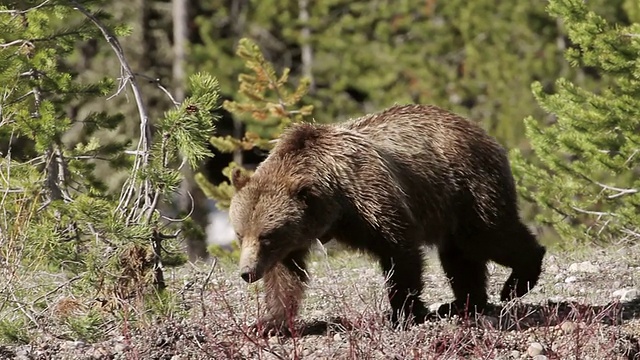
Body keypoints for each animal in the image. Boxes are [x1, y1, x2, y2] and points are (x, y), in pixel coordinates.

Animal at [229, 102, 544, 334]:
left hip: (469, 186)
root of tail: (479, 129)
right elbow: (285, 278)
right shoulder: (296, 239)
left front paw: (405, 312)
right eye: (240, 234)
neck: (332, 202)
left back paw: (516, 282)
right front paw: (269, 323)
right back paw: (464, 304)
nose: (247, 272)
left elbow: (399, 252)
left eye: (267, 236)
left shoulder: (370, 198)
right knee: (459, 256)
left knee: (488, 236)